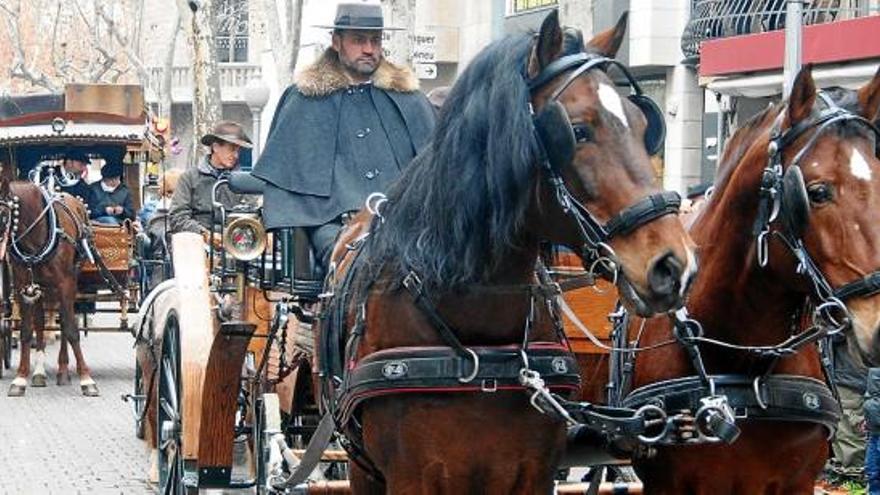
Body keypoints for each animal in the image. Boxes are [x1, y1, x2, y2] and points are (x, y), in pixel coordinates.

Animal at [316, 11, 696, 495]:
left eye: (645, 125)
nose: (675, 264)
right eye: (576, 131)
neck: (478, 341)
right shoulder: (412, 476)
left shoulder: (532, 471)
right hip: (363, 469)